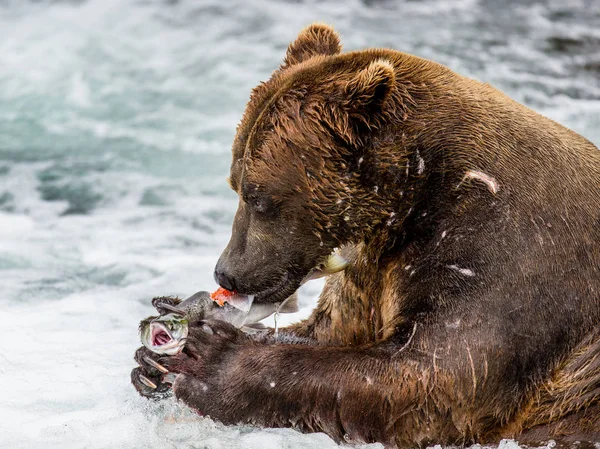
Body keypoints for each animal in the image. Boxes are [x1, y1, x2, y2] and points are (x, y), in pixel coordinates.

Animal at [134, 23, 600, 444]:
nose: (227, 272)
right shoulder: (374, 263)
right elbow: (331, 330)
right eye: (234, 184)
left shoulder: (509, 254)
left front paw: (210, 359)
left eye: (258, 197)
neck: (415, 198)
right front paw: (150, 359)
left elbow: (438, 375)